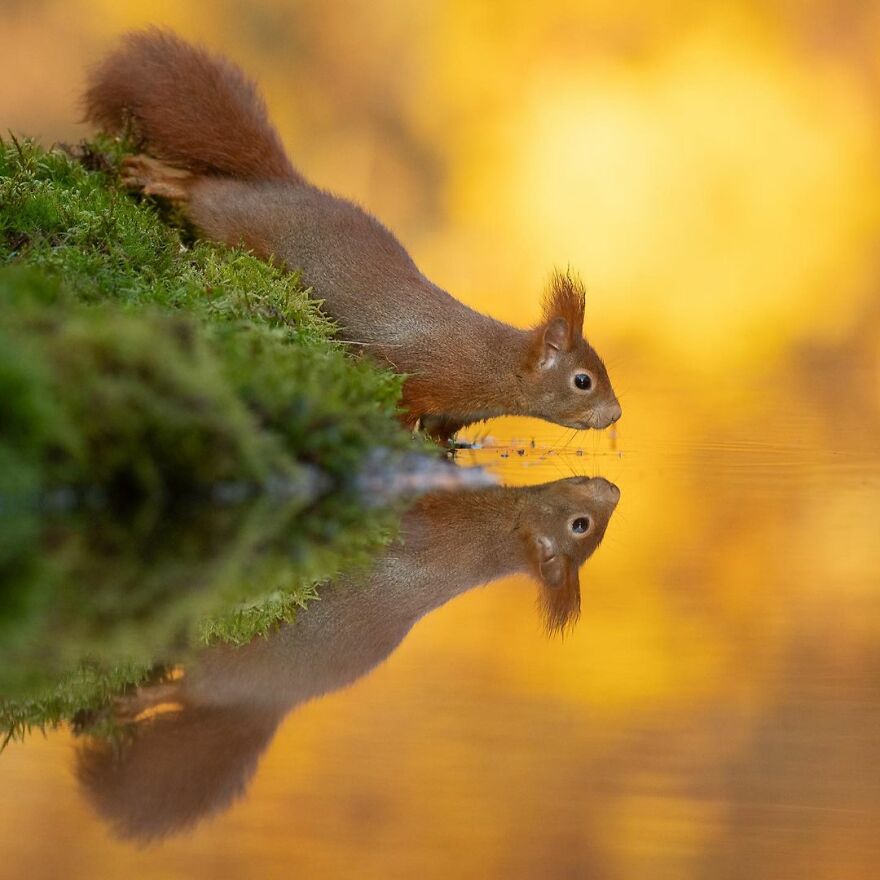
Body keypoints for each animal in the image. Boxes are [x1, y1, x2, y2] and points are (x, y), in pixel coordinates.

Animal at [76, 475, 620, 840]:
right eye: (581, 526)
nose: (612, 489)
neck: (493, 528)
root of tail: (259, 706)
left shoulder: (422, 531)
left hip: (224, 667)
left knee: (186, 685)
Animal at [83, 29, 622, 442]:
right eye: (582, 381)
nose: (616, 415)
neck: (496, 365)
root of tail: (284, 186)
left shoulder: (451, 416)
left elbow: (440, 436)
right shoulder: (417, 372)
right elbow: (399, 400)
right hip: (235, 222)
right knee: (206, 192)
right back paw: (158, 177)